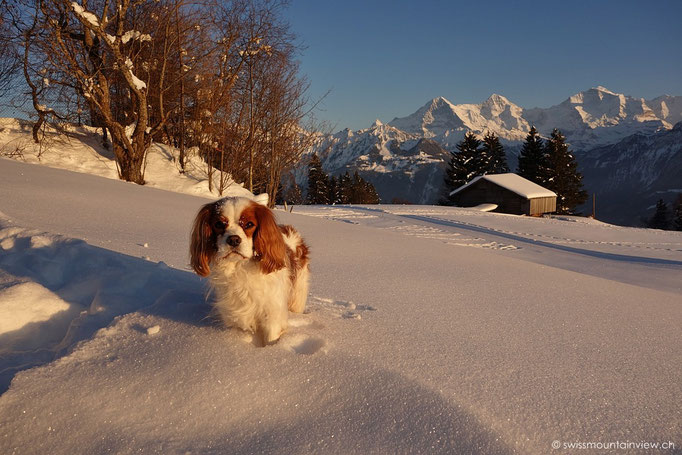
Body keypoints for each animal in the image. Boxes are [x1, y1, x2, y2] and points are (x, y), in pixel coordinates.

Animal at [190, 197, 310, 346]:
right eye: (218, 224)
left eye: (249, 224)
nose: (233, 239)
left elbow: (272, 337)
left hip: (298, 296)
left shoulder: (272, 315)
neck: (240, 267)